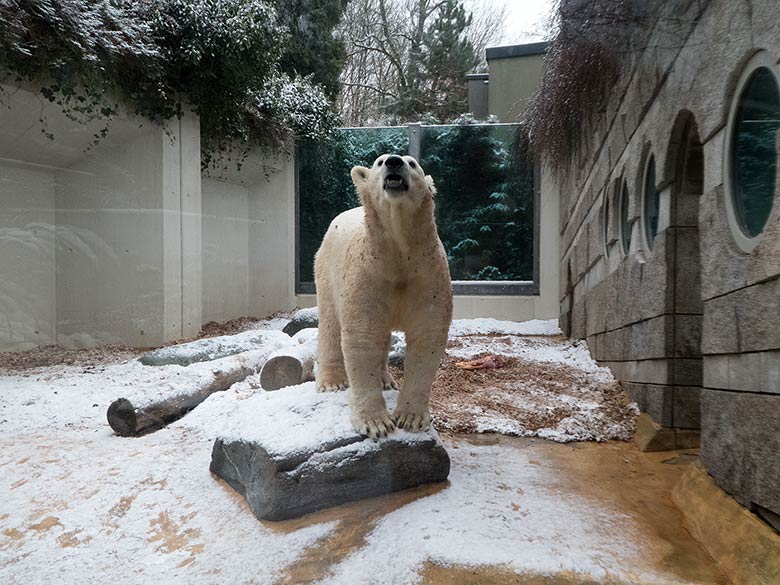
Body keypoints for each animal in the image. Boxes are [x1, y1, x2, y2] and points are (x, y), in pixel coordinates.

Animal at [314, 153, 454, 436]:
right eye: (379, 162)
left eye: (412, 163)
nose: (394, 161)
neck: (397, 255)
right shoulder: (367, 276)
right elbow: (362, 337)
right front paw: (376, 423)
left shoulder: (428, 276)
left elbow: (427, 337)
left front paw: (410, 418)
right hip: (326, 270)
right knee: (330, 323)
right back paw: (332, 381)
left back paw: (385, 379)